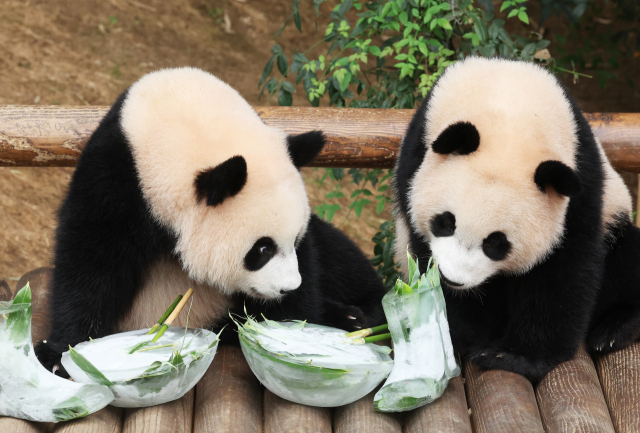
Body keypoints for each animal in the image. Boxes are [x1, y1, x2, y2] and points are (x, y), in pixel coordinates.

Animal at [35, 66, 384, 372]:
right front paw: (61, 354)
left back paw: (355, 315)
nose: (287, 288)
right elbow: (91, 266)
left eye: (295, 241)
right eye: (262, 249)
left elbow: (310, 272)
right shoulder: (115, 181)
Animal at [392, 56, 640, 382]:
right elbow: (422, 251)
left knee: (625, 256)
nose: (453, 279)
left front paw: (514, 356)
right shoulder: (415, 159)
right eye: (445, 222)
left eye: (497, 243)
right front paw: (468, 335)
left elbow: (564, 266)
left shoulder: (580, 183)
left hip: (615, 215)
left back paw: (614, 328)